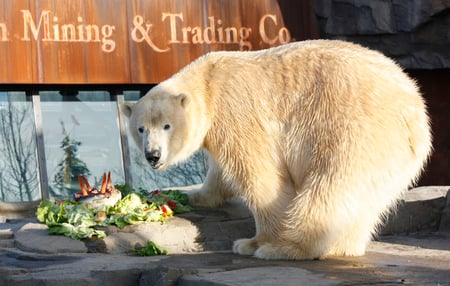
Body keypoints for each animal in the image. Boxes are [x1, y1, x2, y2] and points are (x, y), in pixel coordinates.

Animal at [123, 40, 432, 262]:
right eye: (140, 129)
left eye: (167, 126)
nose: (153, 156)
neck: (207, 82)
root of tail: (413, 107)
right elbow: (221, 172)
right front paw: (195, 195)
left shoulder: (237, 111)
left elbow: (260, 175)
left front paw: (253, 242)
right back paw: (342, 247)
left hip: (351, 128)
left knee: (330, 186)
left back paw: (287, 248)